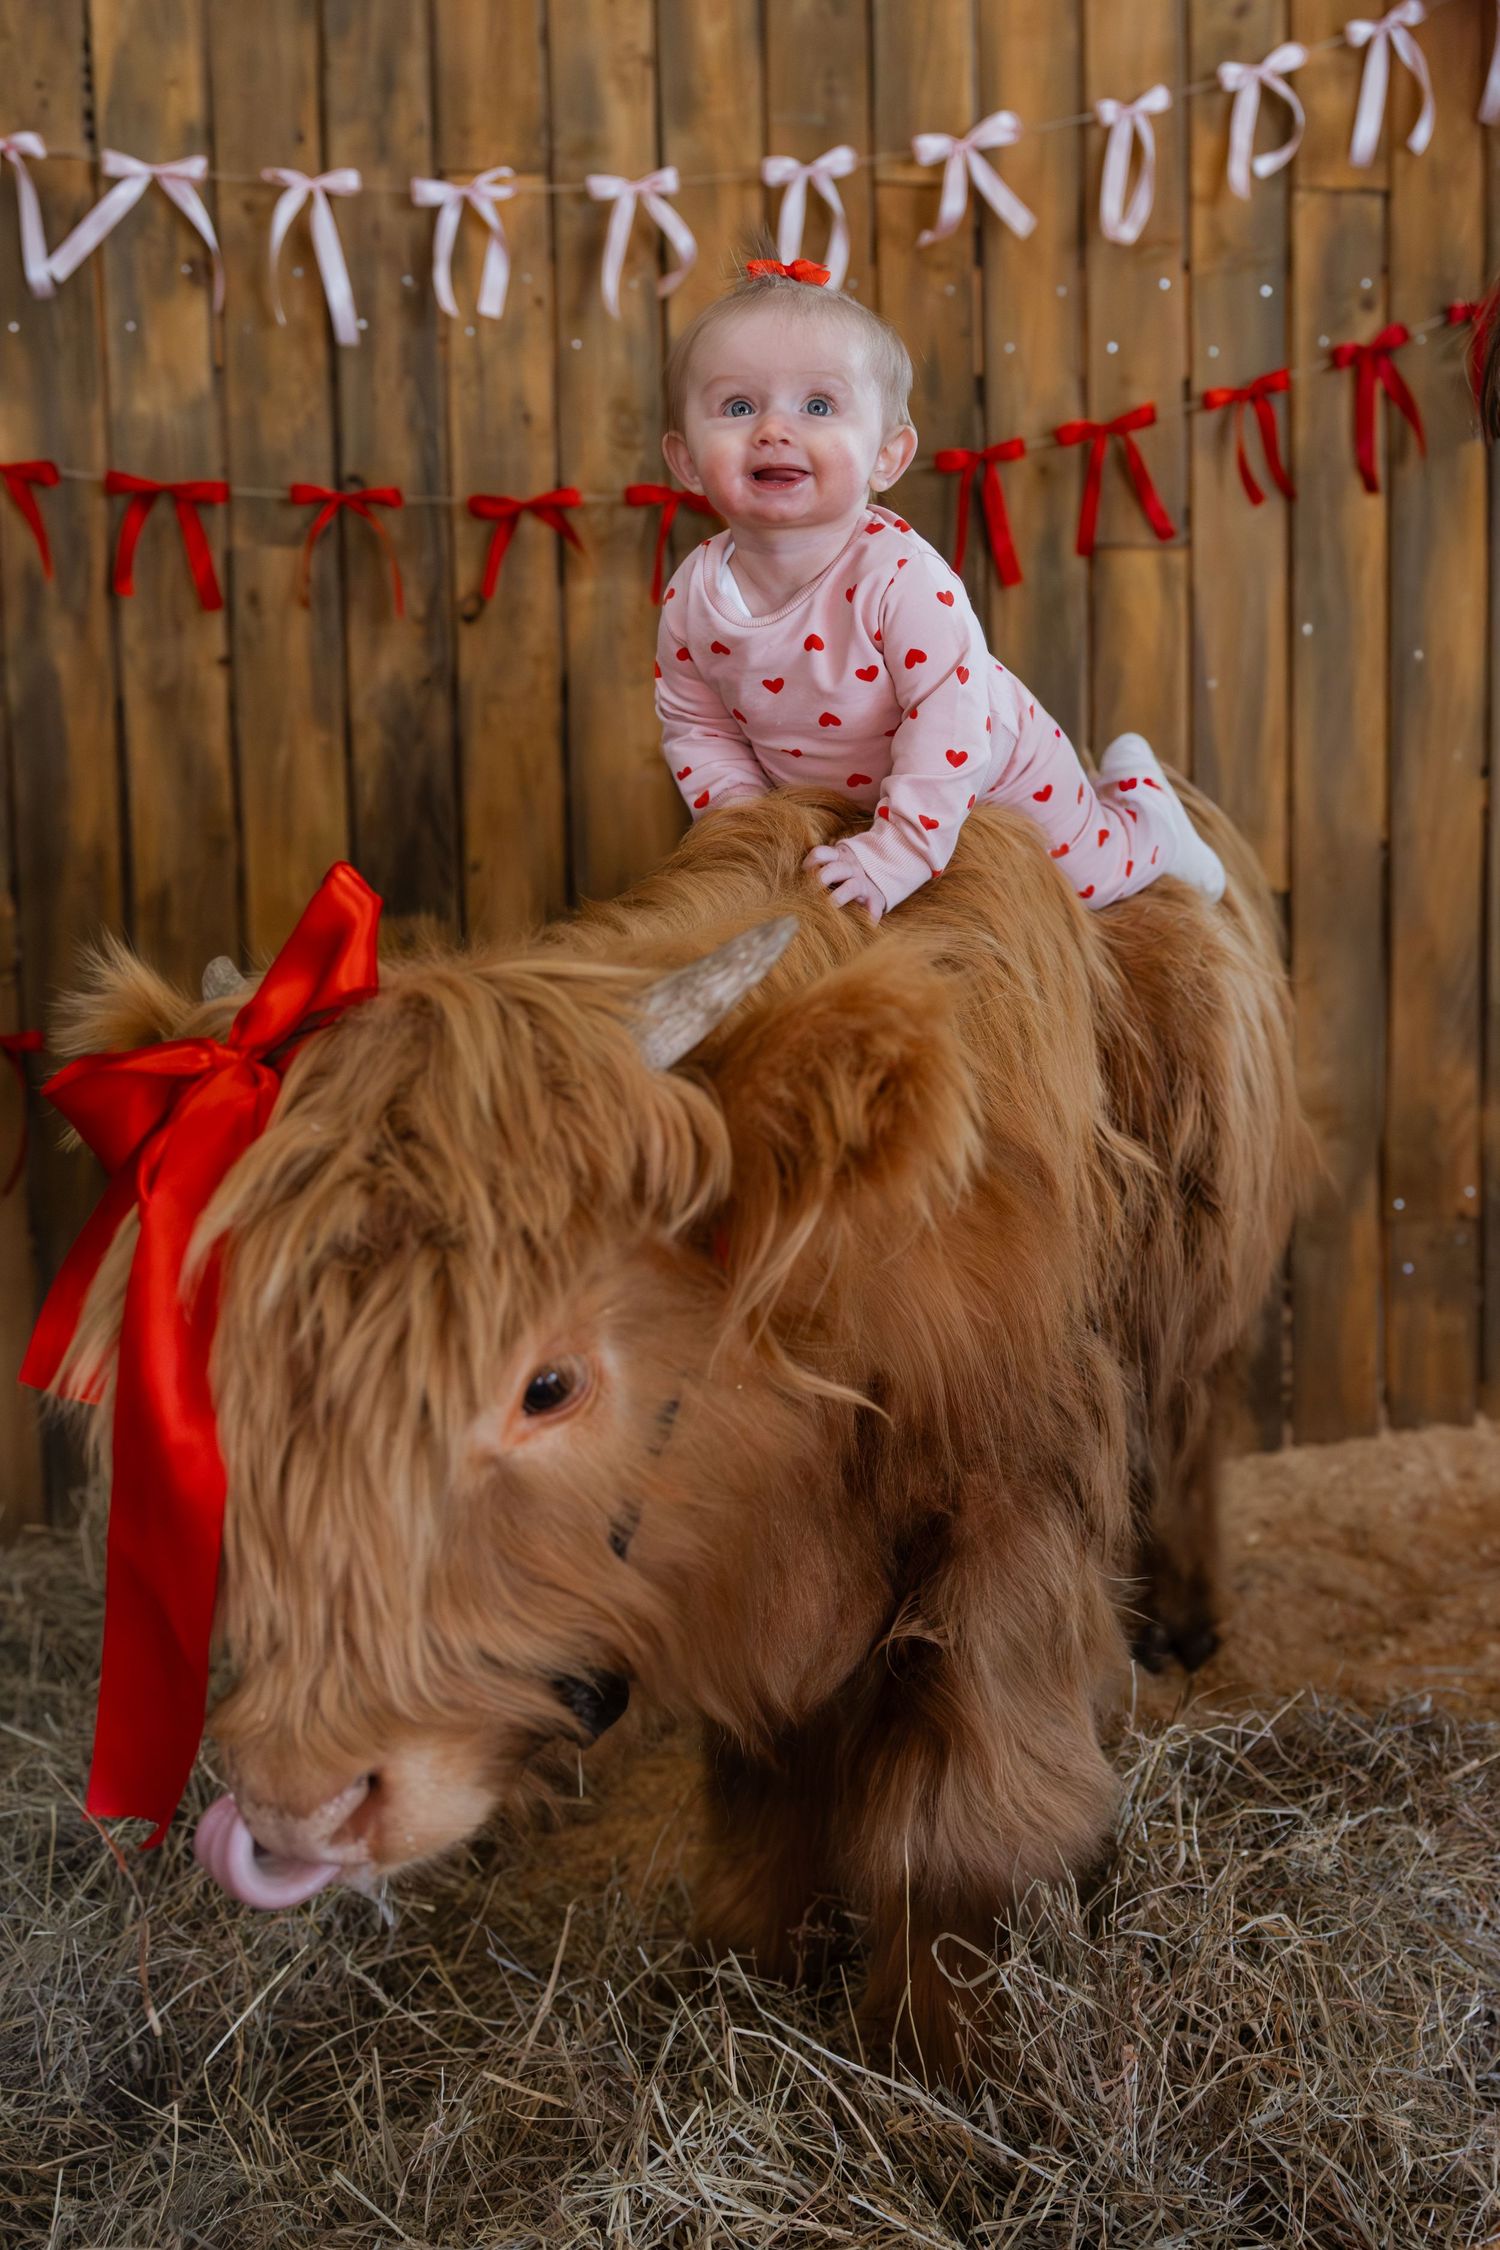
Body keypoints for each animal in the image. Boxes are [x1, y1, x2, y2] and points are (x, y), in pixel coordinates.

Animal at [46, 781, 1309, 2080]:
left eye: (548, 1384)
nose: (302, 1800)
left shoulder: (1005, 1521)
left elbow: (963, 1813)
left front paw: (940, 2048)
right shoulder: (738, 1571)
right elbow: (768, 1784)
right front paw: (745, 1963)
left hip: (1213, 1335)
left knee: (1194, 1448)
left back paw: (1182, 1629)